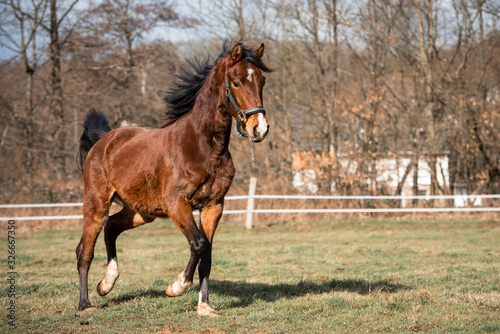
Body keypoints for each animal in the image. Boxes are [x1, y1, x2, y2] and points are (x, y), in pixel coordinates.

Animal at [75, 43, 272, 318]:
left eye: (262, 81)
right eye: (236, 82)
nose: (259, 129)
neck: (204, 147)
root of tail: (103, 141)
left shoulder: (214, 206)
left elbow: (207, 256)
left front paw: (204, 307)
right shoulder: (177, 204)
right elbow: (198, 244)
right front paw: (176, 286)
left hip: (141, 211)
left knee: (111, 227)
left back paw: (107, 283)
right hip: (96, 204)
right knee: (85, 250)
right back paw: (85, 304)